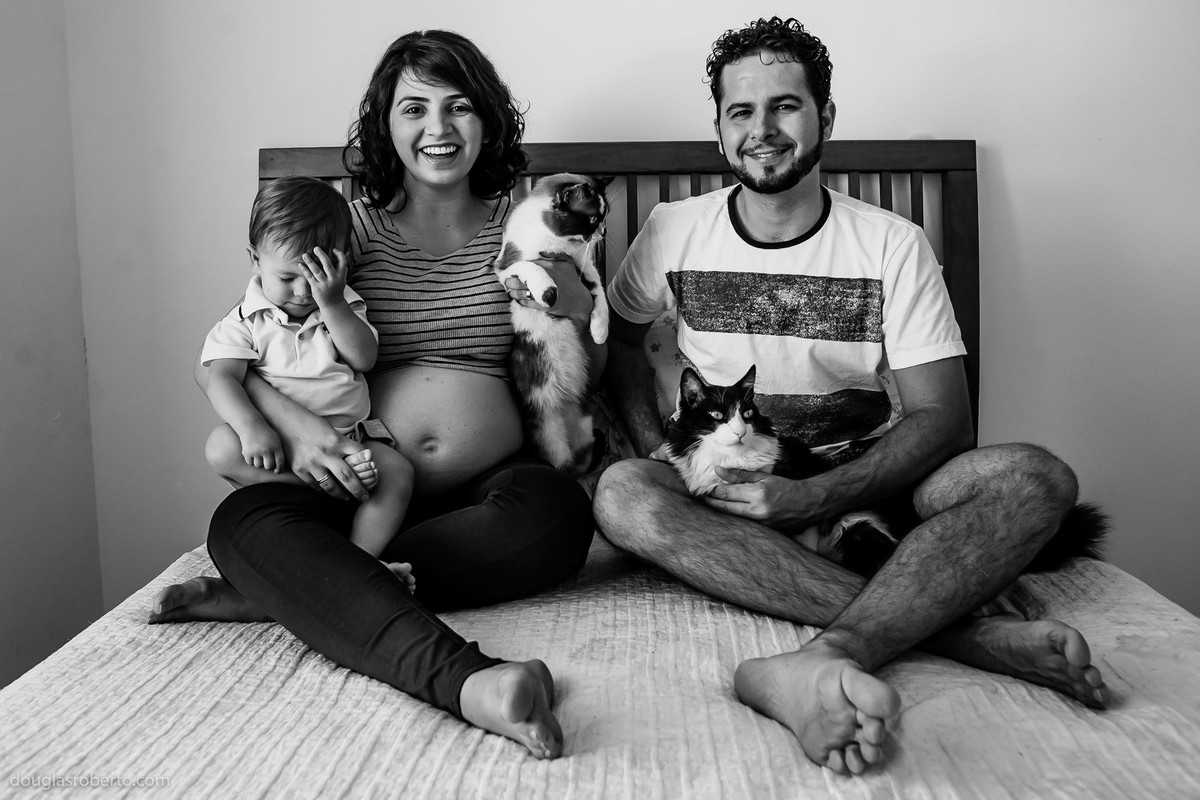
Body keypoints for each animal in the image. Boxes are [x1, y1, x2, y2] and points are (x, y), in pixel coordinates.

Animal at [495, 173, 611, 475]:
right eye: (593, 219)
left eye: (606, 215)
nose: (604, 232)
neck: (557, 244)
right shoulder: (505, 269)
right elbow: (532, 267)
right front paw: (547, 292)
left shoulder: (585, 269)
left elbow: (599, 295)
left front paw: (599, 331)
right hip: (547, 430)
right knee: (562, 464)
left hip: (584, 423)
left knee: (580, 461)